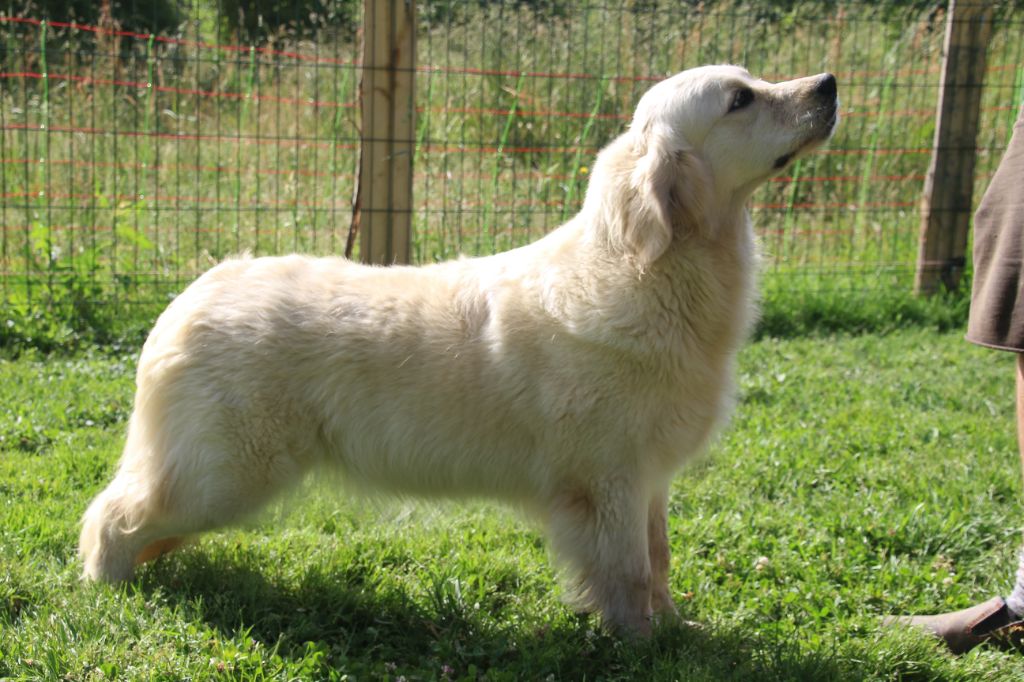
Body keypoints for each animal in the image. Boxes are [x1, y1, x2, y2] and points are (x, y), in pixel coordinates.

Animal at [80, 65, 838, 634]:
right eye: (740, 99)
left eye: (755, 80)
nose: (829, 84)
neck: (651, 270)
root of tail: (191, 294)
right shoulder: (610, 480)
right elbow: (628, 573)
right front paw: (641, 646)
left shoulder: (650, 480)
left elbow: (661, 562)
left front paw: (677, 631)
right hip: (223, 474)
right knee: (112, 514)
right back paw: (106, 583)